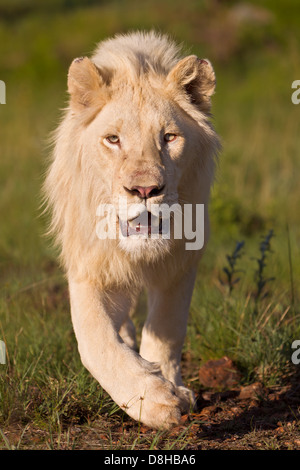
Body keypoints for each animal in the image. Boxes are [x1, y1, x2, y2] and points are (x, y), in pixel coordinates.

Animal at [43, 31, 219, 428]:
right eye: (113, 139)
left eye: (169, 138)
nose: (144, 190)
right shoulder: (89, 265)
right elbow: (95, 341)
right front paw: (150, 398)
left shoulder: (180, 263)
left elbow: (167, 331)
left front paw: (172, 389)